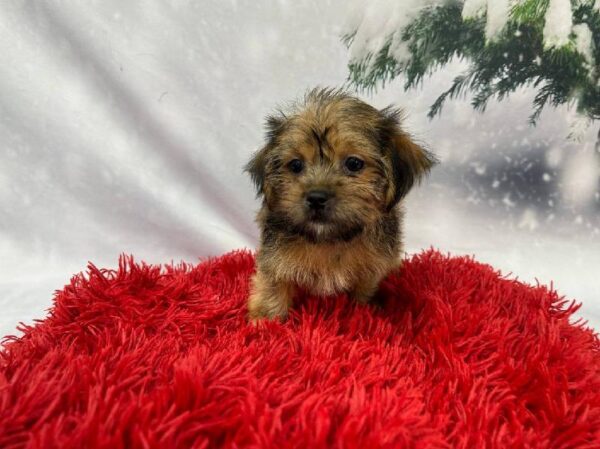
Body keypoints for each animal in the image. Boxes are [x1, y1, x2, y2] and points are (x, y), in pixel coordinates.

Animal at [244, 87, 436, 320]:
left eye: (354, 163)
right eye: (296, 165)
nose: (316, 197)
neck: (329, 239)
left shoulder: (371, 268)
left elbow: (363, 292)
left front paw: (362, 311)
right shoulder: (275, 261)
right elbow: (272, 290)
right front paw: (265, 321)